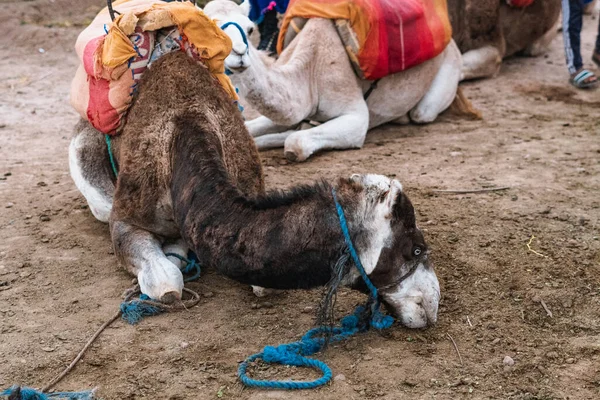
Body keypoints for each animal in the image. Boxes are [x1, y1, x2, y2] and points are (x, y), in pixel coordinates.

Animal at [69, 50, 440, 328]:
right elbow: (166, 284)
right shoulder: (126, 218)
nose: (433, 302)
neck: (184, 129)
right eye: (415, 249)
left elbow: (262, 283)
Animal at [204, 0, 466, 162]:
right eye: (206, 29)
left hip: (447, 72)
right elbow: (253, 128)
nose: (239, 53)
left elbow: (295, 141)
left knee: (423, 112)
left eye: (250, 29)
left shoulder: (354, 115)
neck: (308, 73)